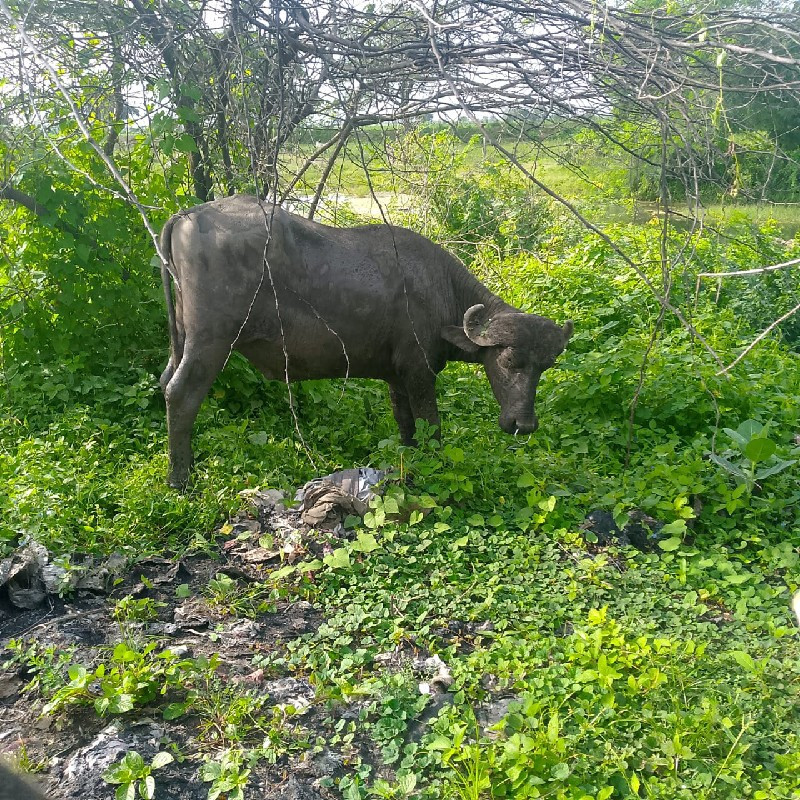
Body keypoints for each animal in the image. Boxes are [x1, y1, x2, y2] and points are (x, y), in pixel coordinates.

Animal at [159, 198, 572, 490]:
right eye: (508, 361)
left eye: (545, 366)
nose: (524, 424)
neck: (440, 288)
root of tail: (188, 214)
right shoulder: (419, 371)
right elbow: (432, 425)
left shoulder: (397, 377)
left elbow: (407, 426)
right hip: (211, 342)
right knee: (181, 394)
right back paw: (181, 479)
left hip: (181, 338)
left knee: (165, 381)